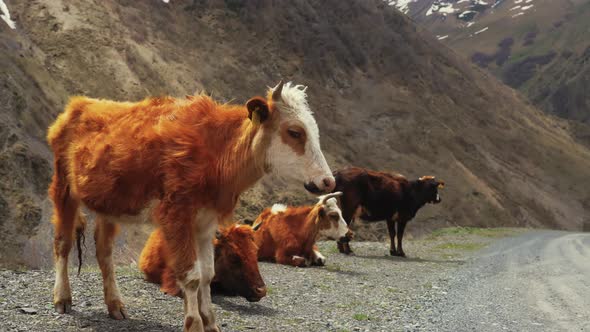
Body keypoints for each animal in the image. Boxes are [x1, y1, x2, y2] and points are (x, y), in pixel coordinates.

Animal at [47, 81, 332, 332]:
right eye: (294, 132)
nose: (328, 180)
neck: (217, 152)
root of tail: (81, 103)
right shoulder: (176, 215)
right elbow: (191, 275)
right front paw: (194, 324)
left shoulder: (205, 221)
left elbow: (207, 273)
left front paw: (210, 322)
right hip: (63, 188)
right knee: (63, 243)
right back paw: (62, 298)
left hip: (109, 205)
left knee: (104, 252)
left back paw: (115, 305)